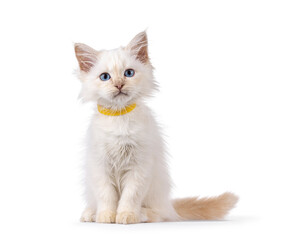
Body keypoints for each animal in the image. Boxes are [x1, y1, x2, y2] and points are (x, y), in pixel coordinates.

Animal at [74, 31, 238, 223]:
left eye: (128, 73)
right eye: (105, 77)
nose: (119, 84)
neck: (120, 117)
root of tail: (170, 206)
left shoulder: (140, 166)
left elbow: (130, 196)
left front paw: (126, 215)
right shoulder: (100, 165)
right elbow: (106, 195)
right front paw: (106, 216)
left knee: (159, 214)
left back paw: (141, 214)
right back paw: (91, 213)